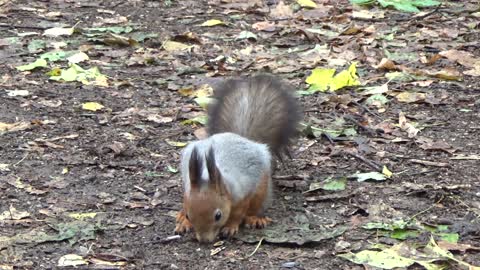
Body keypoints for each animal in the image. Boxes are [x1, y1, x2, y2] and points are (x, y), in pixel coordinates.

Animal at [172, 74, 300, 243]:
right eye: (189, 215)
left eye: (218, 215)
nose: (205, 240)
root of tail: (242, 138)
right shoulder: (188, 193)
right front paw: (184, 222)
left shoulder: (242, 195)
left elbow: (238, 215)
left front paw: (230, 227)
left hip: (262, 188)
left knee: (255, 207)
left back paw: (255, 218)